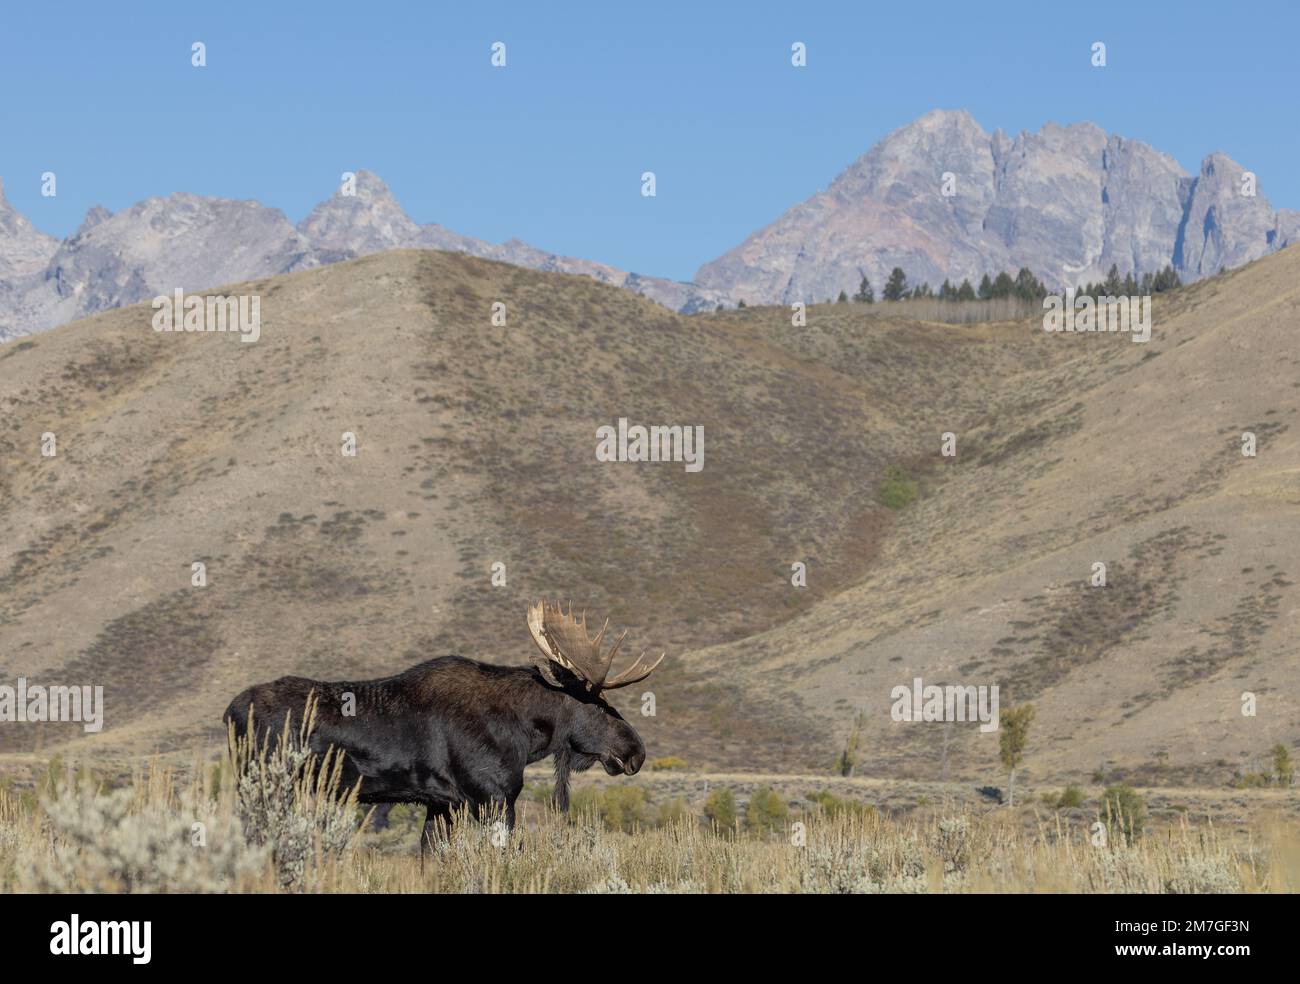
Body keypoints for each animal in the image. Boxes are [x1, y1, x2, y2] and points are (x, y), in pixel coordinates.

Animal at [223, 601, 664, 853]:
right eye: (599, 704)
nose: (636, 751)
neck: (525, 735)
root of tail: (228, 710)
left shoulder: (441, 803)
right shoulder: (493, 797)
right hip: (263, 783)